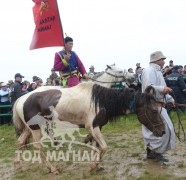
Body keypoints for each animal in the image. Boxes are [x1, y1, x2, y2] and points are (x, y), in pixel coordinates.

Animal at [12, 82, 164, 174]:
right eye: (154, 111)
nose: (162, 131)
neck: (101, 101)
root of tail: (20, 100)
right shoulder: (92, 127)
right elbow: (104, 147)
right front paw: (92, 166)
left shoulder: (98, 127)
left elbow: (96, 147)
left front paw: (97, 166)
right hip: (36, 128)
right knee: (38, 147)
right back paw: (53, 169)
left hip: (29, 128)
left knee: (20, 142)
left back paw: (18, 166)